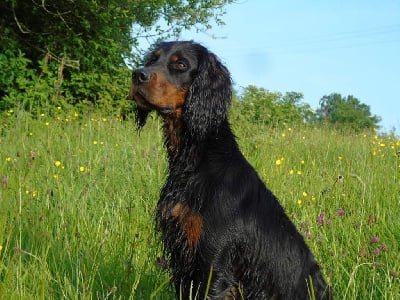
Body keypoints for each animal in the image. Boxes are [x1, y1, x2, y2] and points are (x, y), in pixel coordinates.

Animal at [129, 41, 332, 298]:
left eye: (181, 64)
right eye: (152, 59)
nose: (138, 74)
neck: (196, 159)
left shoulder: (213, 261)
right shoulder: (182, 260)